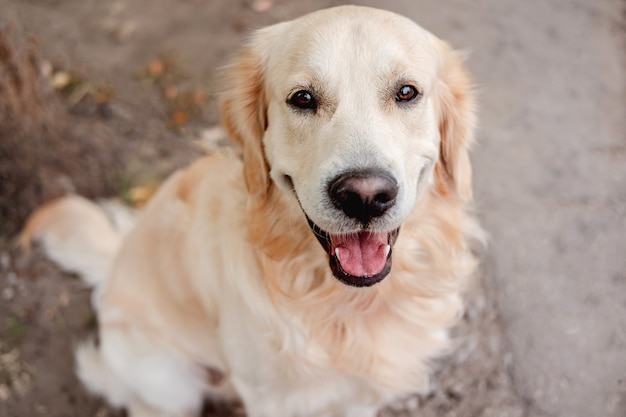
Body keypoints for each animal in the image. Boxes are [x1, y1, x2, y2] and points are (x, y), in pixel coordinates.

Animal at [19, 5, 480, 416]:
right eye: (303, 98)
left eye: (406, 92)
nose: (364, 195)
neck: (345, 303)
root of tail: (115, 264)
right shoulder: (268, 398)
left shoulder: (358, 395)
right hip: (170, 386)